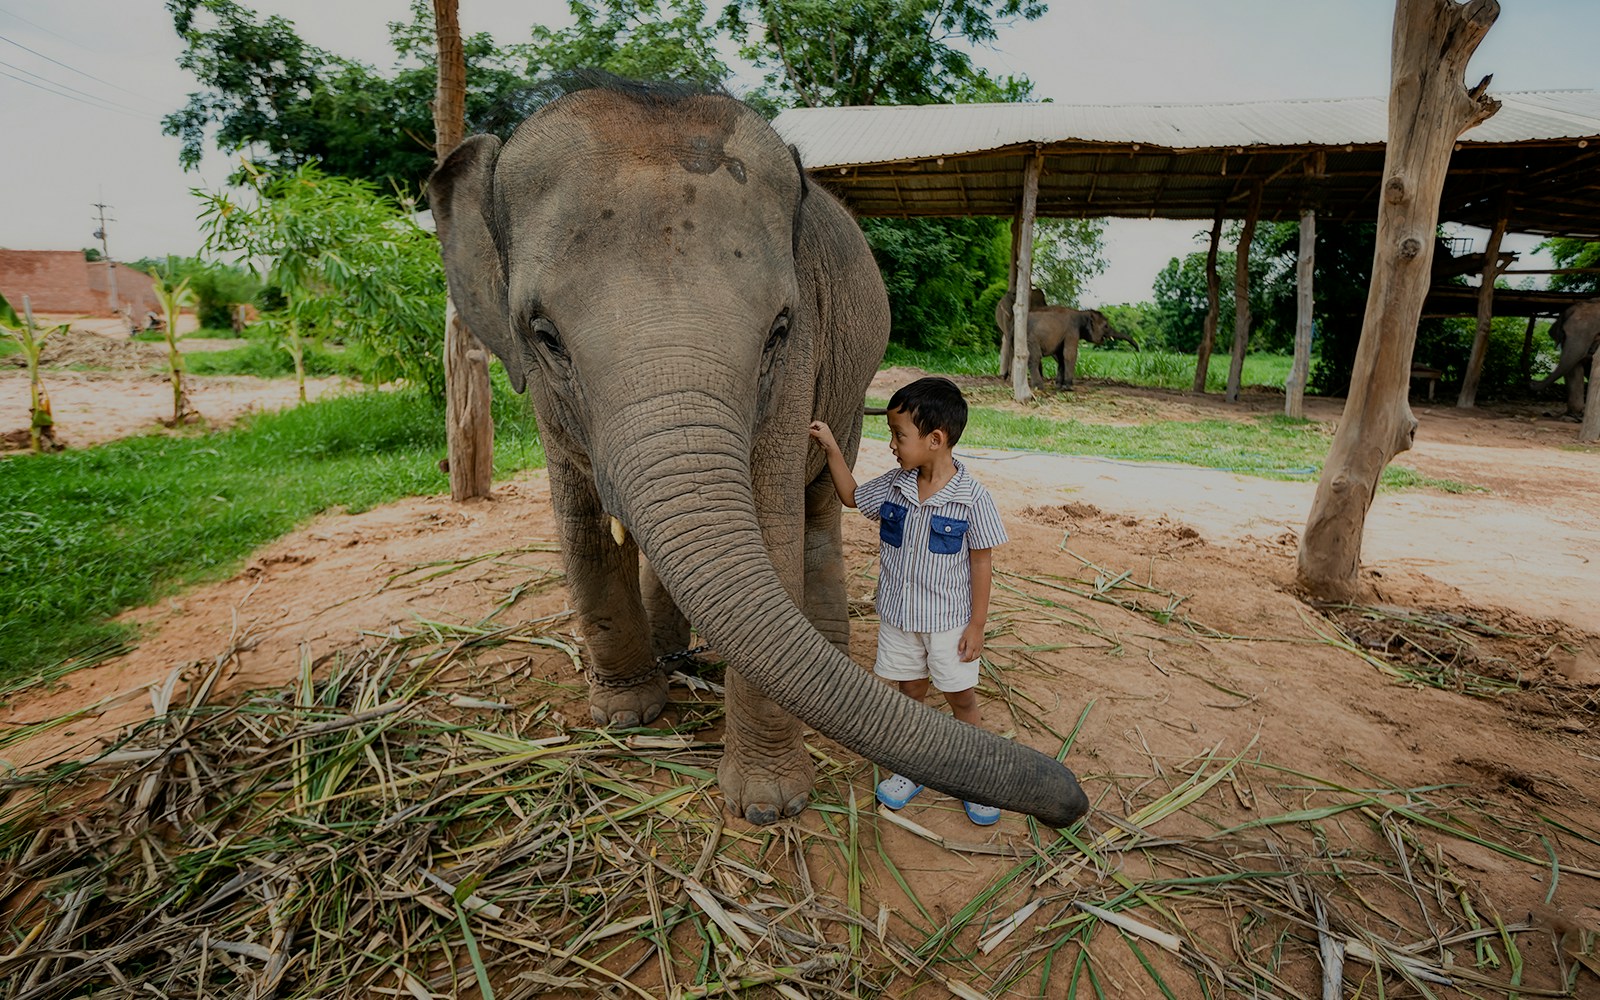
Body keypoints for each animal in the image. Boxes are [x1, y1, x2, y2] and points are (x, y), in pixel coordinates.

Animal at [430, 82, 1088, 829]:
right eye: (543, 335)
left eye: (778, 329)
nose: (1072, 800)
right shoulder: (543, 398)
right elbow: (584, 527)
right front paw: (627, 715)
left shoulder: (800, 365)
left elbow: (771, 527)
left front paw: (769, 806)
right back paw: (673, 654)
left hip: (851, 383)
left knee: (818, 507)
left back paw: (827, 643)